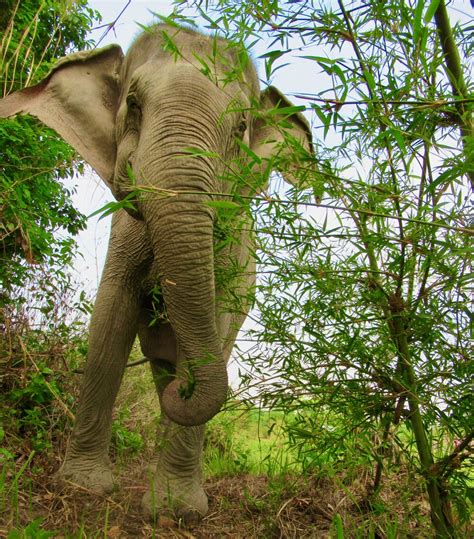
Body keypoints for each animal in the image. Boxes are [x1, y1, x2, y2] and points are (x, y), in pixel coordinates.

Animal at [0, 24, 312, 524]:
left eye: (240, 128)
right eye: (133, 104)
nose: (183, 393)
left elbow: (215, 317)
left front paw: (178, 510)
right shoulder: (123, 231)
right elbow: (112, 312)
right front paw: (83, 485)